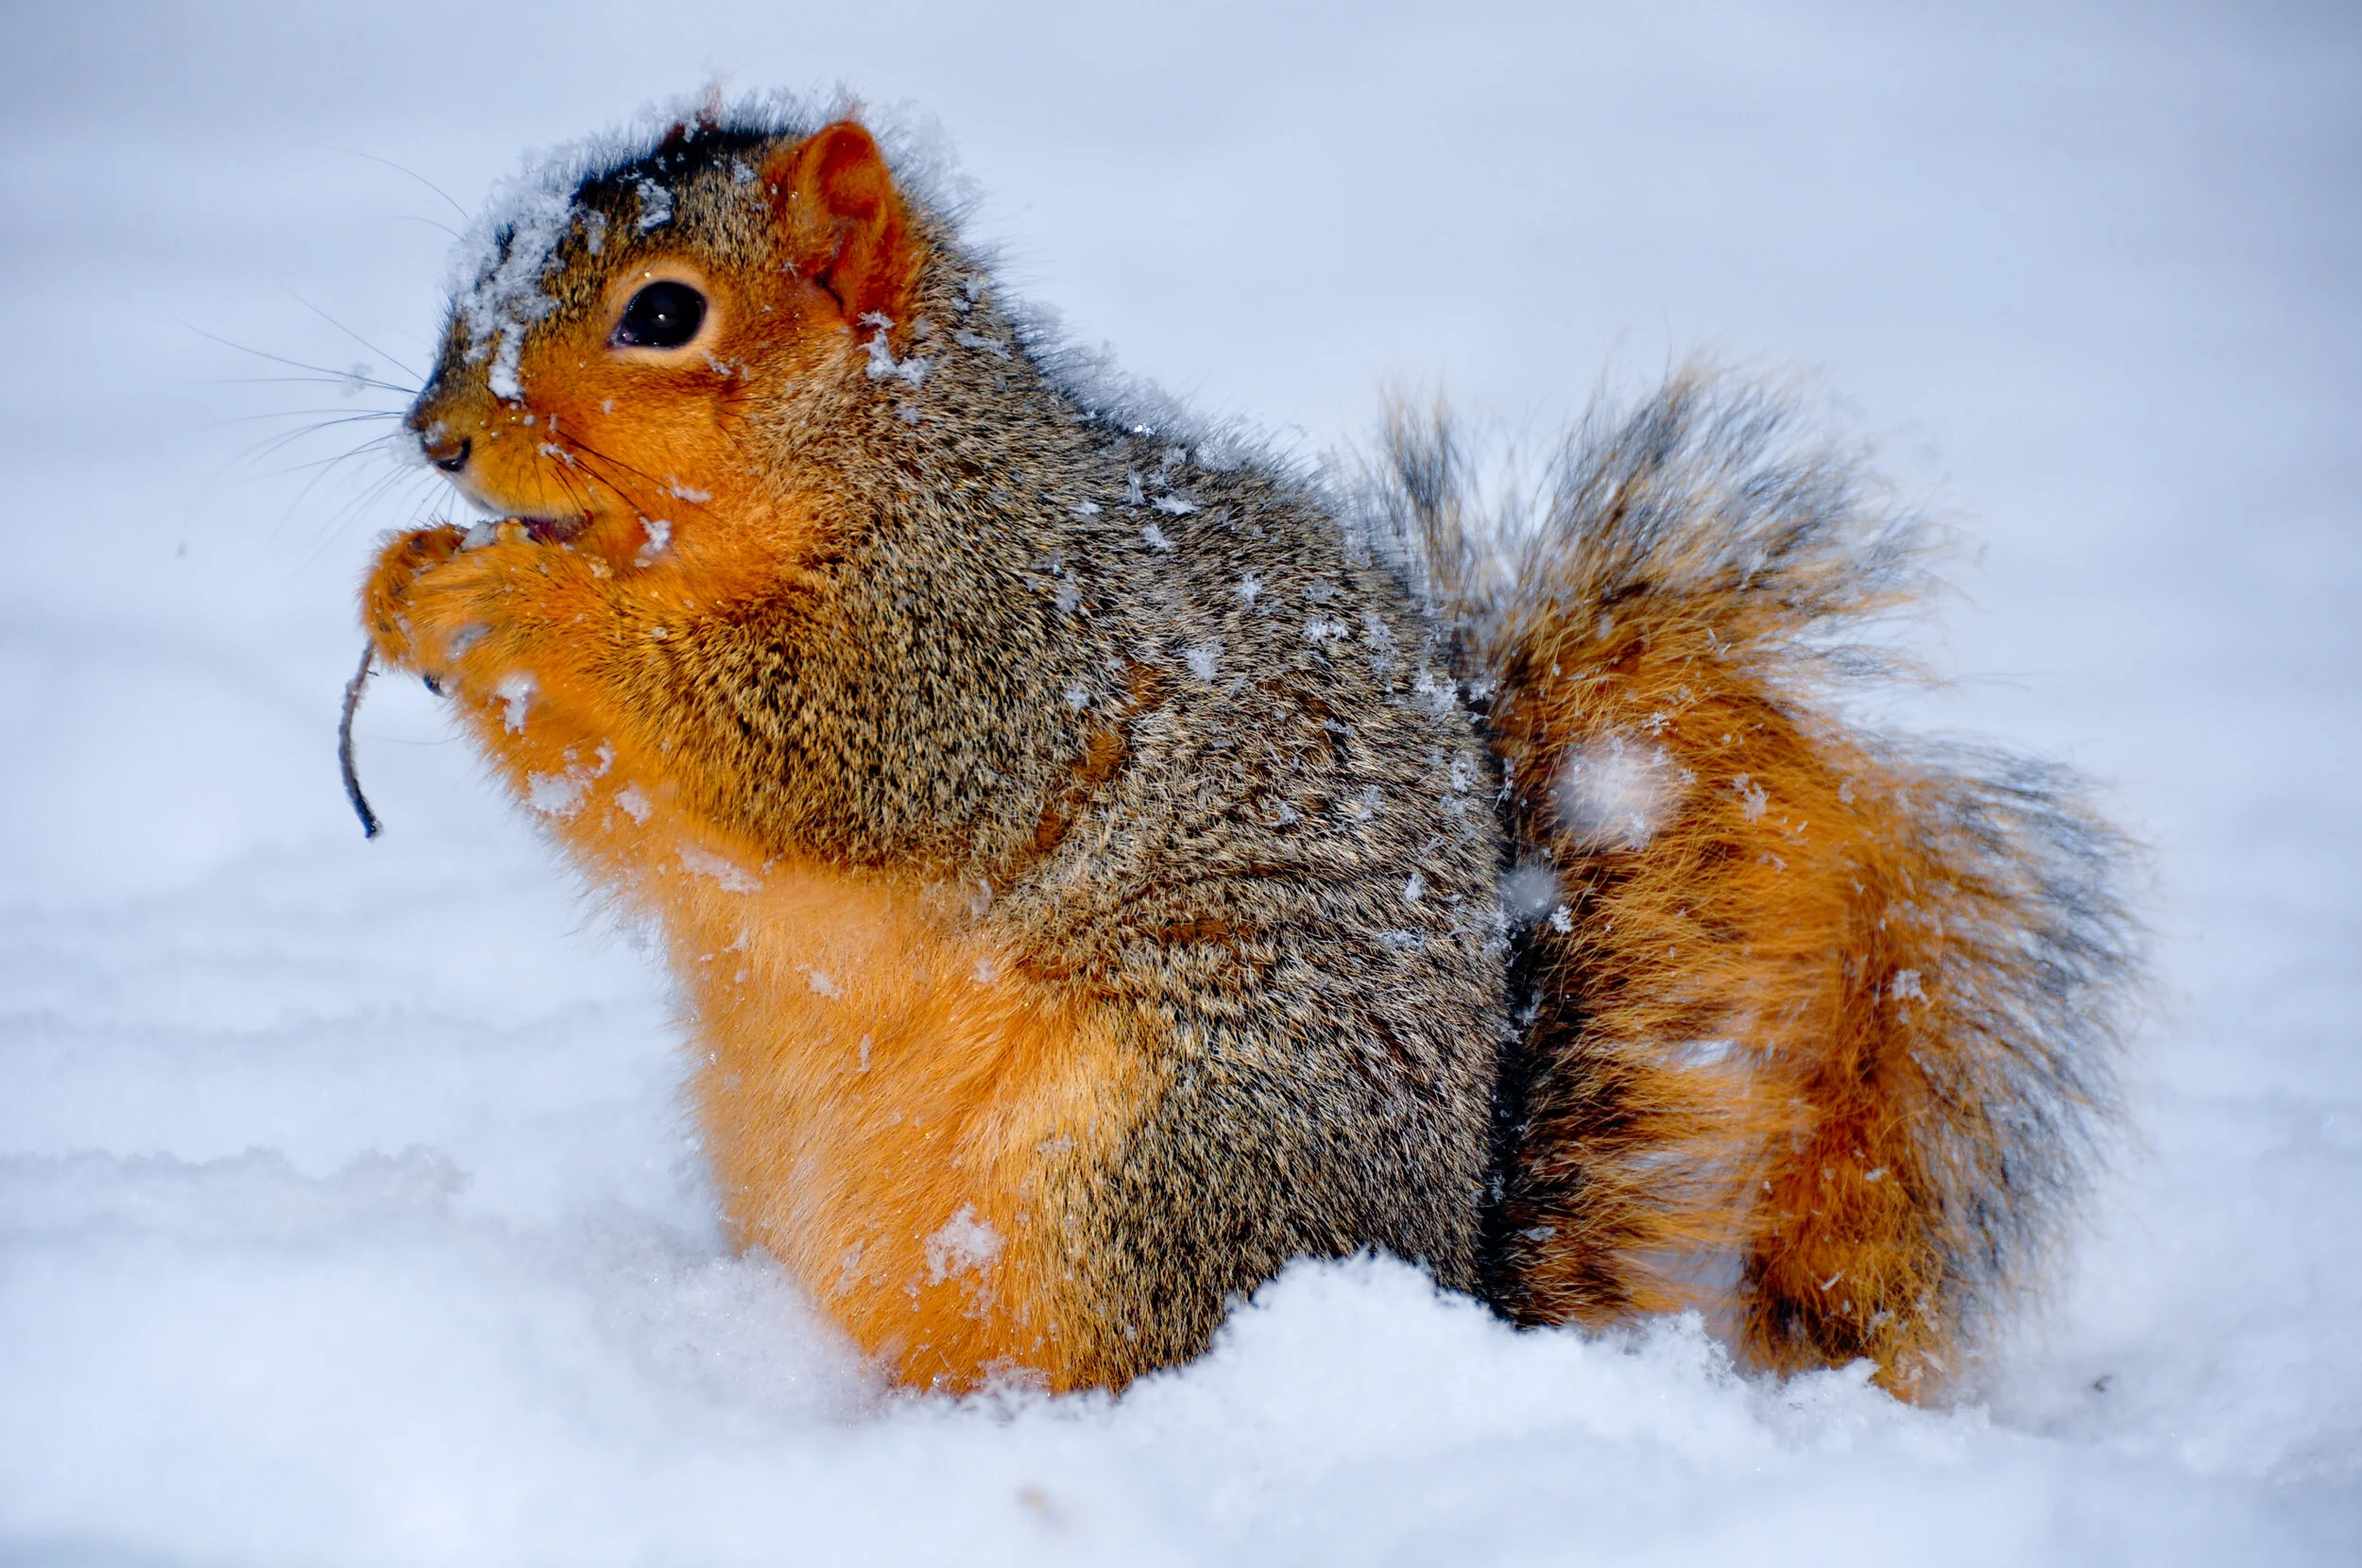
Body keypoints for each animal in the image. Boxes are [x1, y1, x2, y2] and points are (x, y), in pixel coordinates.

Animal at [357, 103, 2137, 1401]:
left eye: (665, 314)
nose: (439, 437)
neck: (889, 447)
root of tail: (1439, 1288)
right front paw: (407, 579)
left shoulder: (992, 643)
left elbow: (806, 748)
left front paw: (509, 593)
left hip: (1148, 1154)